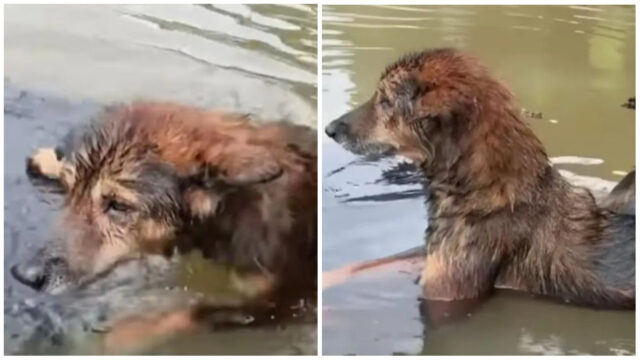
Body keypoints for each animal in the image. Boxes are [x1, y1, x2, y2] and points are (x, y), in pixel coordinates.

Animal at [324, 48, 636, 310]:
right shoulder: (429, 254)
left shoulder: (445, 291)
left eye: (386, 102)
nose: (329, 129)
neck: (484, 190)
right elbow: (366, 265)